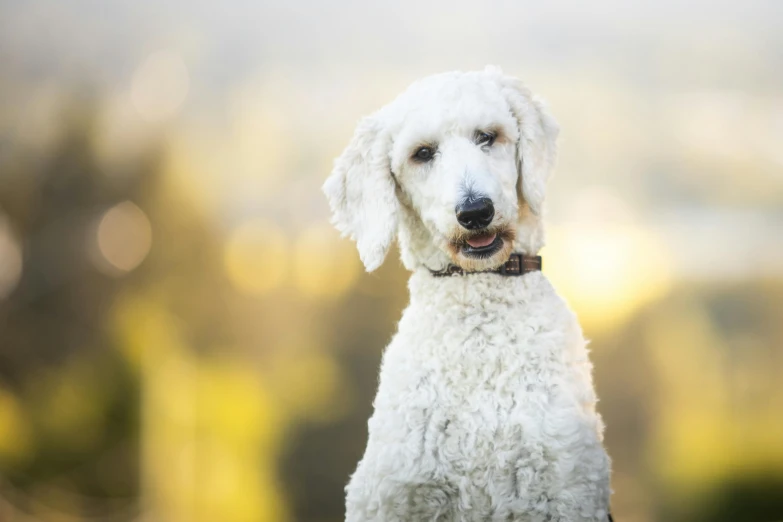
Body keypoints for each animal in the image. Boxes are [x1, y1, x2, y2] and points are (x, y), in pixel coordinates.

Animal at [324, 67, 612, 516]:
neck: (479, 323)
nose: (476, 211)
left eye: (487, 136)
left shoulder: (567, 487)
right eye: (423, 153)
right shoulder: (393, 494)